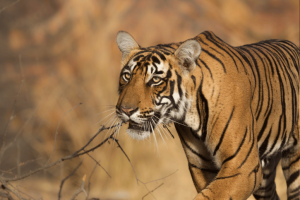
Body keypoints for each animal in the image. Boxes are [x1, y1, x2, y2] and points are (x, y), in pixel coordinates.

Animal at [113, 30, 298, 200]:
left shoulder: (242, 166)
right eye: (127, 76)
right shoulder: (203, 166)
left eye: (155, 80)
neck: (191, 114)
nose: (125, 110)